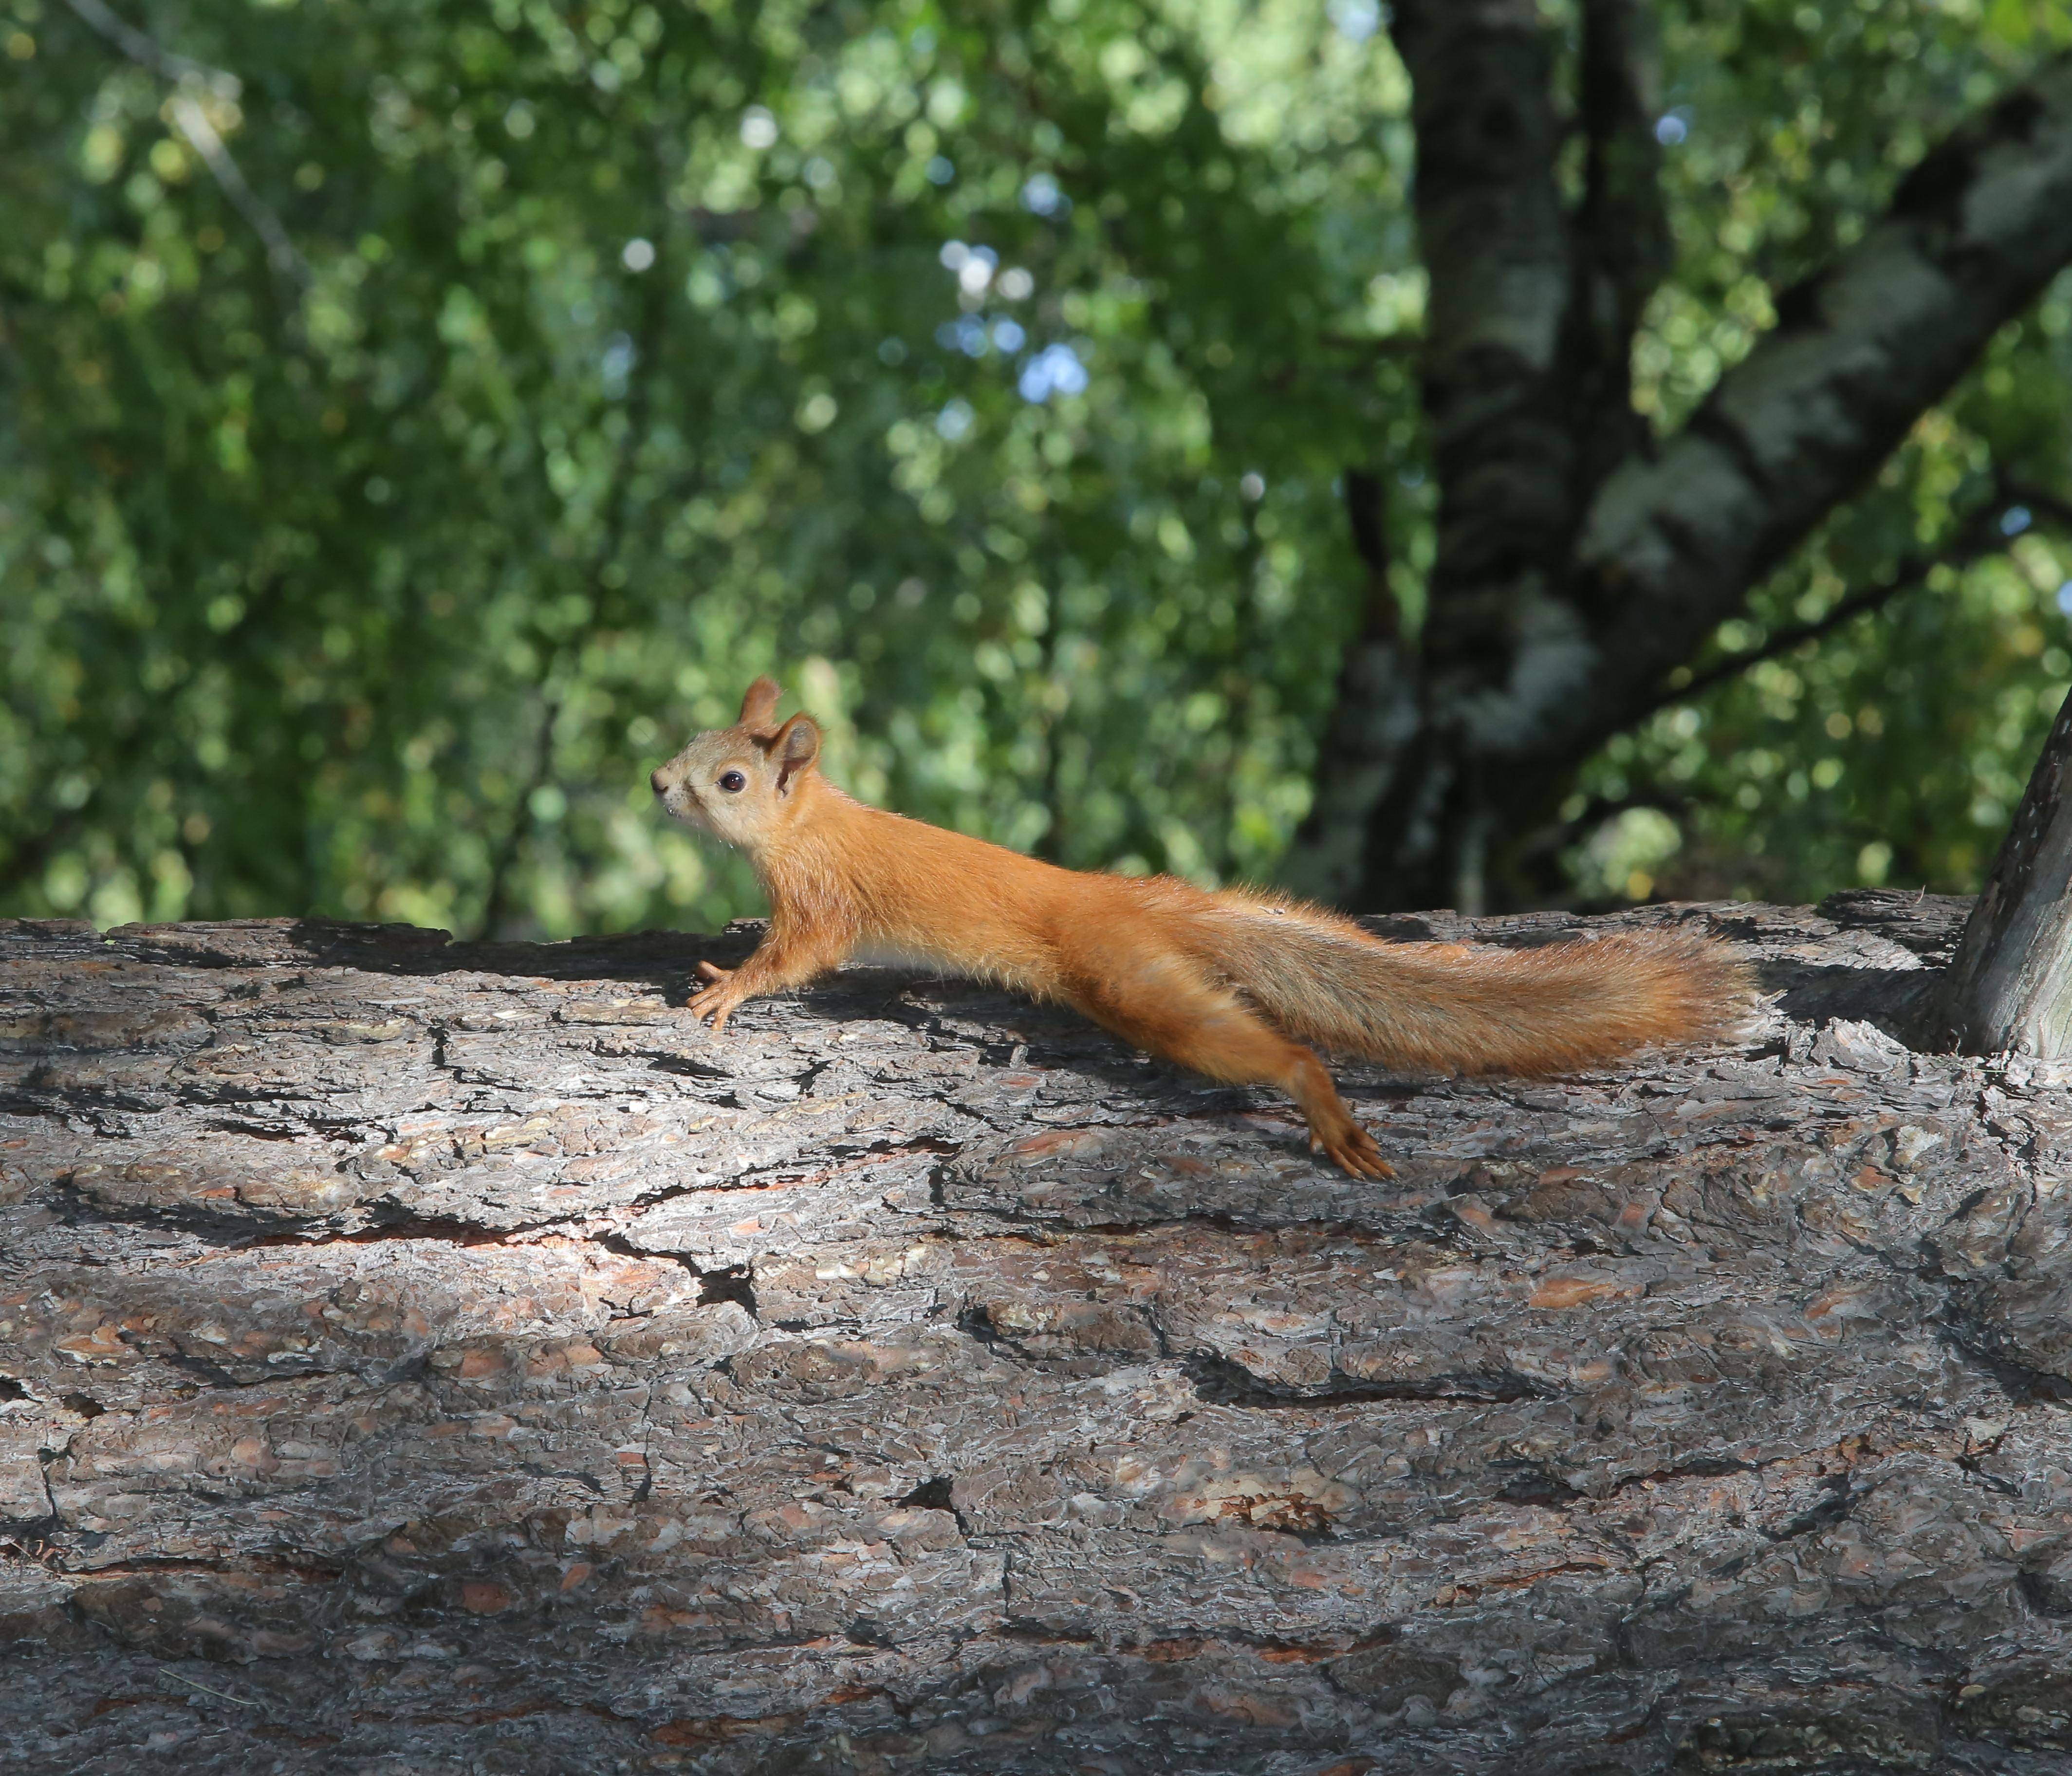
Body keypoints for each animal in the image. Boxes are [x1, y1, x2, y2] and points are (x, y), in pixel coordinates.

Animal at [650, 680, 1749, 1177]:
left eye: (731, 779)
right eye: (688, 740)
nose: (657, 782)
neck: (811, 820)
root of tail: (1129, 902)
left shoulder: (823, 900)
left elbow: (797, 957)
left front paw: (727, 987)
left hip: (1132, 985)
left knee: (1276, 1050)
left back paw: (1321, 1104)